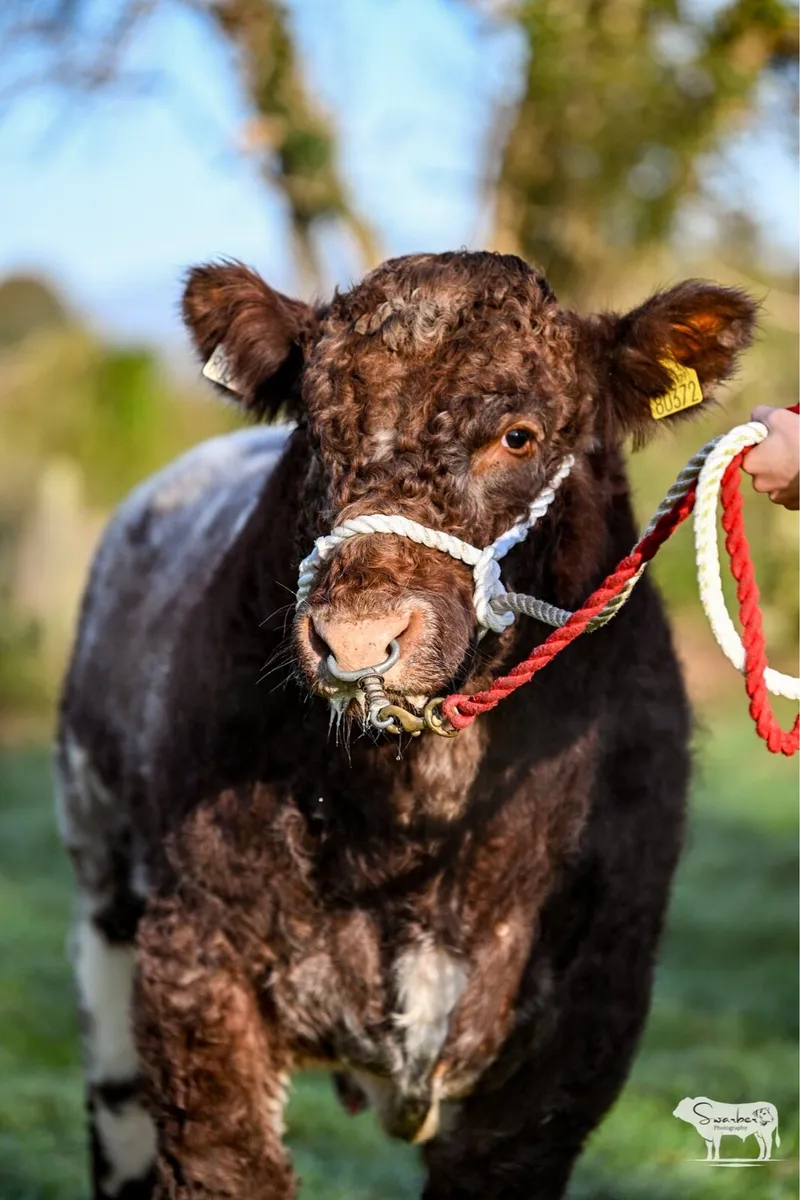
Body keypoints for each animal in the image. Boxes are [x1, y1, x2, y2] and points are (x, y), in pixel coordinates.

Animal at [55, 250, 756, 1199]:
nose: (356, 637)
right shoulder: (195, 961)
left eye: (519, 436)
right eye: (313, 426)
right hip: (102, 899)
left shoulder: (587, 1012)